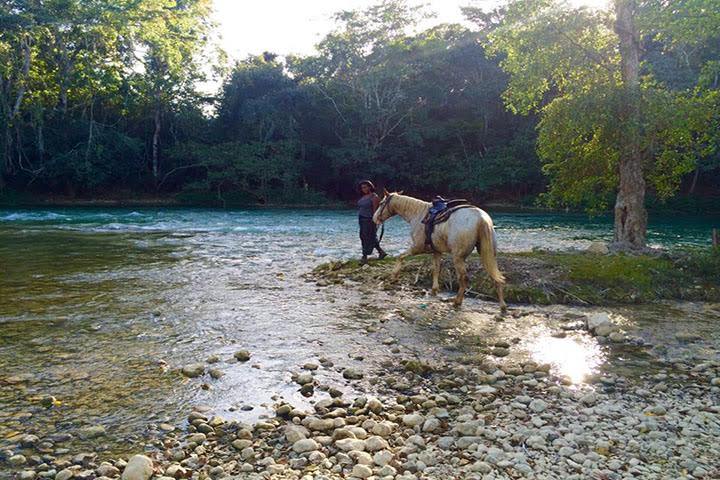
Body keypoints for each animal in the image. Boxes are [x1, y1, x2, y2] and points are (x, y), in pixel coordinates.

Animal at [372, 189, 506, 310]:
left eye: (381, 203)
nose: (374, 219)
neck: (418, 214)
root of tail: (482, 218)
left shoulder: (417, 247)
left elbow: (401, 256)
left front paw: (394, 276)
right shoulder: (436, 251)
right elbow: (436, 269)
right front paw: (434, 290)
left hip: (458, 257)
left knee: (463, 278)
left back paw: (457, 301)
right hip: (489, 254)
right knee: (496, 276)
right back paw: (503, 306)